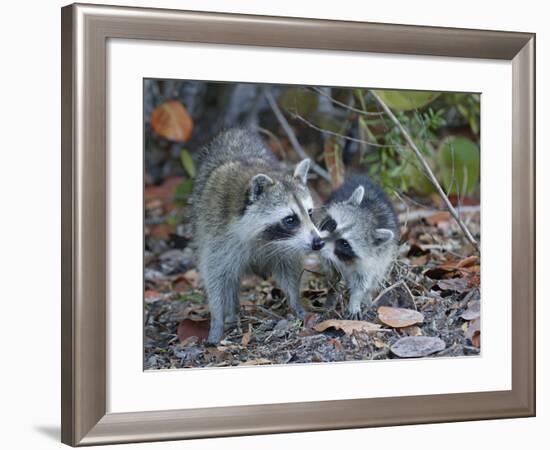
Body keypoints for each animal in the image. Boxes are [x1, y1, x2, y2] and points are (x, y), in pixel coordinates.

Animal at [192, 128, 326, 342]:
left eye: (310, 213)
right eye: (290, 219)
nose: (318, 242)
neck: (262, 236)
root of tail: (234, 131)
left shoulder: (286, 245)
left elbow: (289, 269)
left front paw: (296, 303)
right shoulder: (217, 233)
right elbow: (216, 276)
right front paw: (217, 320)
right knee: (231, 278)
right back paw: (232, 313)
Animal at [320, 176, 402, 320]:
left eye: (344, 243)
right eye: (332, 225)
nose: (317, 243)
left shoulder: (374, 257)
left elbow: (363, 281)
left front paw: (356, 299)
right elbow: (331, 274)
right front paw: (332, 294)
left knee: (377, 276)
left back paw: (367, 298)